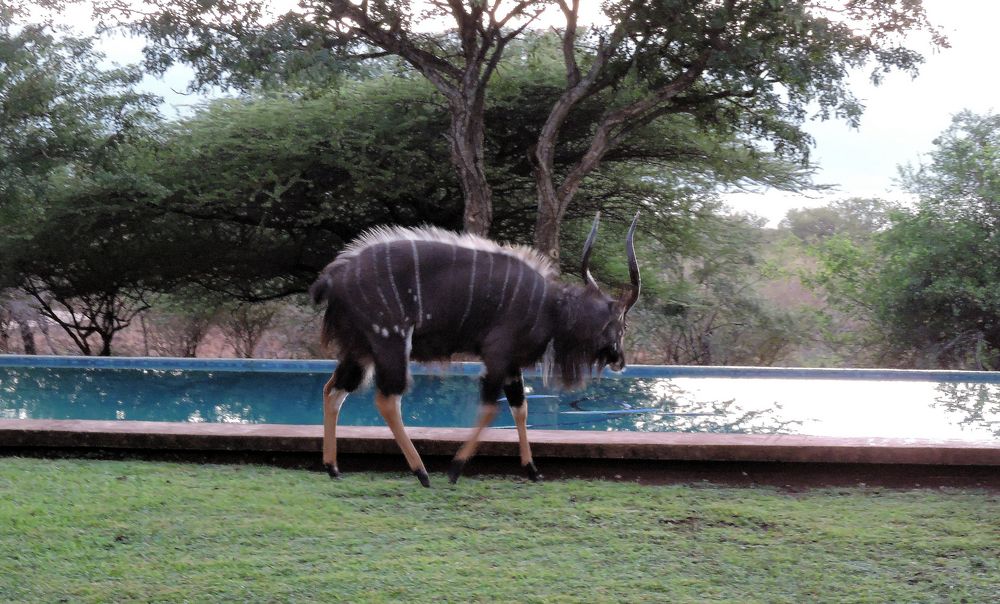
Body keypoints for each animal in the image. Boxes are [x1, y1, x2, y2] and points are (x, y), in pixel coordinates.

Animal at [308, 212, 644, 486]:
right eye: (623, 326)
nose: (621, 361)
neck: (552, 308)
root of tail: (332, 278)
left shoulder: (510, 365)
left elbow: (520, 408)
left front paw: (532, 470)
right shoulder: (497, 355)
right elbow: (491, 407)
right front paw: (455, 469)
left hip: (360, 350)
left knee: (333, 390)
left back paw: (333, 467)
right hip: (390, 342)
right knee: (387, 399)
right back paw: (422, 473)